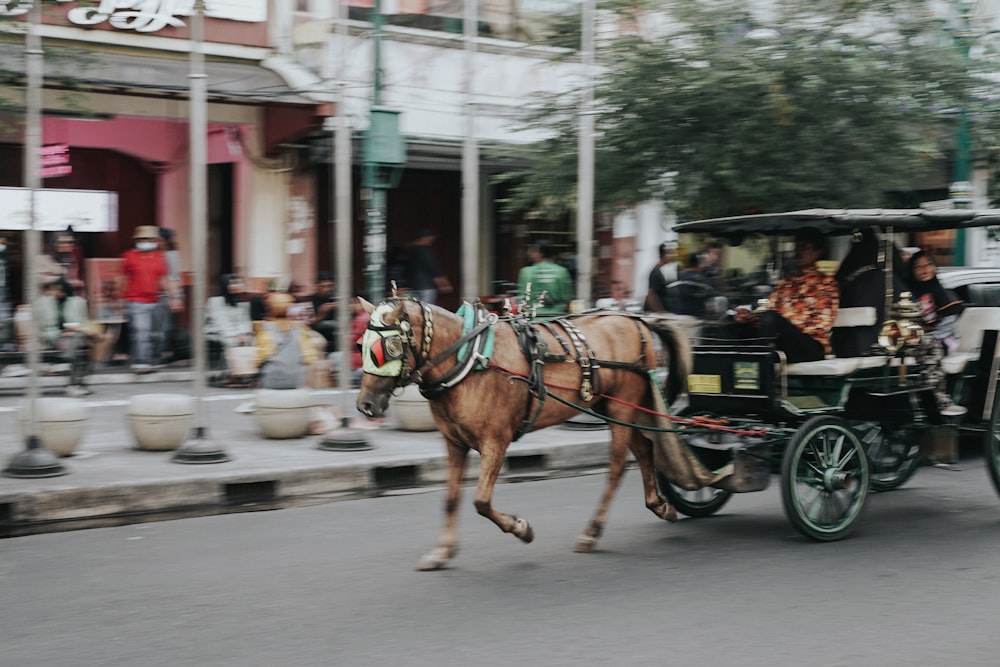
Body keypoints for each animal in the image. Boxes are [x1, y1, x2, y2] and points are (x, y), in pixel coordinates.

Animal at [356, 300, 692, 572]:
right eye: (363, 346)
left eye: (387, 349)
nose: (365, 405)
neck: (469, 361)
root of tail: (638, 321)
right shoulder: (454, 443)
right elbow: (451, 499)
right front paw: (442, 553)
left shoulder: (495, 441)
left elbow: (481, 501)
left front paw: (521, 528)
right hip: (613, 407)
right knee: (645, 448)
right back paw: (659, 505)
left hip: (622, 407)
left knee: (617, 467)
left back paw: (592, 532)